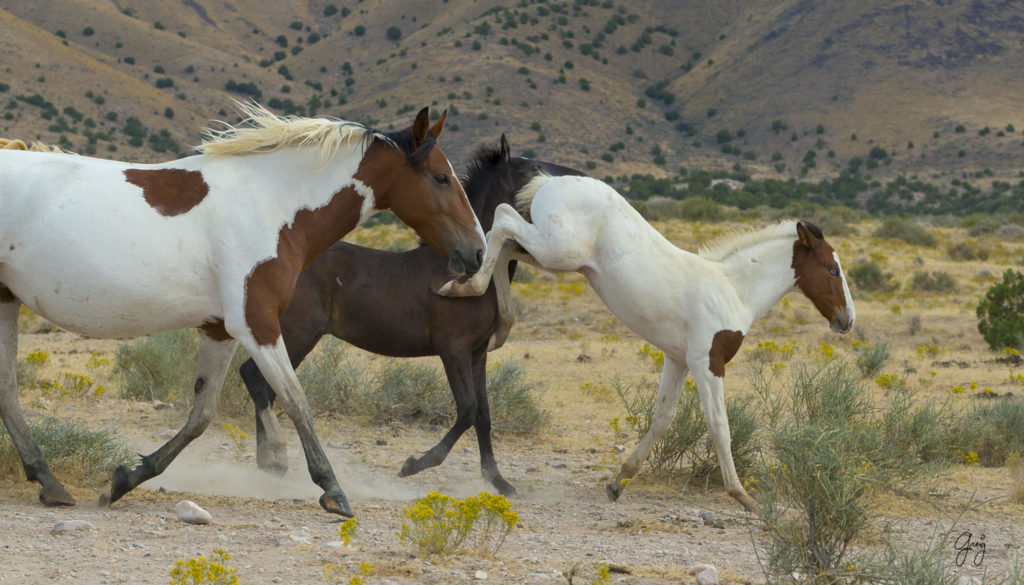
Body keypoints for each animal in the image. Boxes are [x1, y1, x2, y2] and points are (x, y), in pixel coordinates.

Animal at [0, 100, 485, 516]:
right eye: (441, 177)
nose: (477, 252)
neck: (271, 205)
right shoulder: (257, 324)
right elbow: (297, 401)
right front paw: (332, 490)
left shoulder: (220, 329)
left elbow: (201, 415)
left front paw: (124, 480)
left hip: (6, 300)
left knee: (7, 391)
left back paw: (50, 483)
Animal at [234, 136, 581, 493]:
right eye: (529, 167)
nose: (577, 178)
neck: (467, 276)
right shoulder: (452, 350)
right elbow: (467, 410)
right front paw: (413, 465)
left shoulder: (477, 353)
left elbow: (484, 414)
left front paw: (498, 481)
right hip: (297, 334)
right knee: (256, 379)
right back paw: (274, 461)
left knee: (266, 386)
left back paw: (268, 464)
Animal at [442, 175, 856, 512]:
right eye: (833, 269)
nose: (847, 320)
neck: (733, 290)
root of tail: (553, 181)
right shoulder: (708, 363)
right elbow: (719, 425)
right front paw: (743, 496)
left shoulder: (677, 360)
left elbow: (662, 420)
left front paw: (617, 484)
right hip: (558, 249)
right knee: (503, 219)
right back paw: (466, 285)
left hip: (553, 256)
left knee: (508, 246)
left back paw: (488, 308)